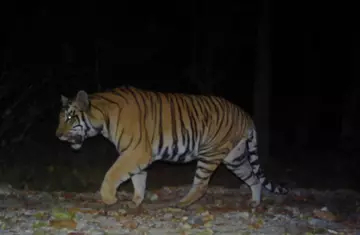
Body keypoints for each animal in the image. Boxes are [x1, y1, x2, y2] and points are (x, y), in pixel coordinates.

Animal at [55, 86, 286, 207]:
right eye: (60, 118)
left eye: (70, 118)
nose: (57, 135)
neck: (103, 119)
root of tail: (246, 114)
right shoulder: (136, 154)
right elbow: (138, 179)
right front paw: (136, 201)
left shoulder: (137, 152)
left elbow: (113, 173)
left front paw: (109, 198)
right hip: (235, 158)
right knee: (253, 178)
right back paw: (255, 202)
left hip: (210, 152)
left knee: (201, 185)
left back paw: (182, 204)